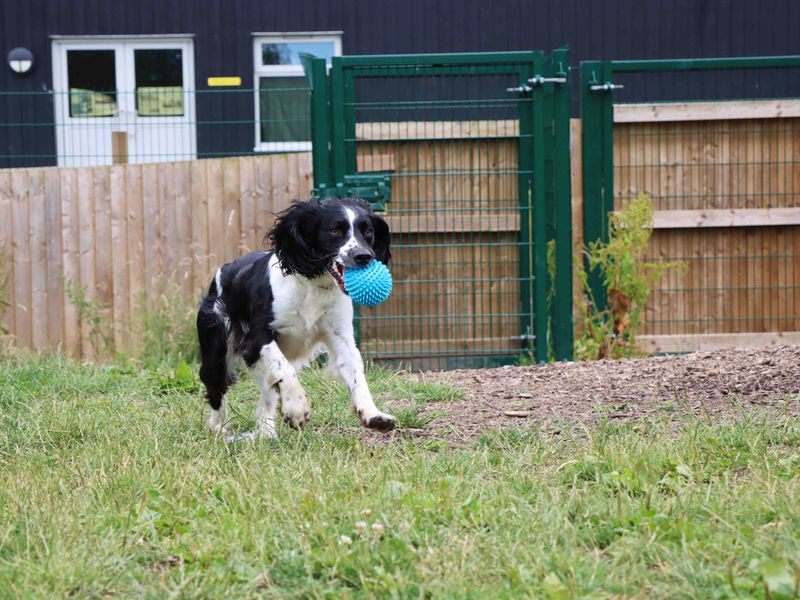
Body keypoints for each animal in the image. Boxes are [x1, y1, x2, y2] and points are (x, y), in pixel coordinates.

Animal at [197, 199, 396, 438]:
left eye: (368, 231)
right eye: (334, 230)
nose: (363, 256)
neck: (313, 284)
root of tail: (224, 269)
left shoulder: (341, 335)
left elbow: (356, 370)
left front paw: (374, 415)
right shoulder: (257, 338)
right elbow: (284, 369)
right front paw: (297, 408)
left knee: (267, 393)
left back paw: (266, 433)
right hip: (215, 348)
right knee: (216, 387)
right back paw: (218, 427)